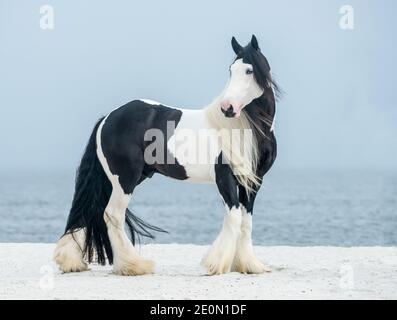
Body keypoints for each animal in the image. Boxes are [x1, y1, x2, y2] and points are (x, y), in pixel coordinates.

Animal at [54, 34, 280, 276]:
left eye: (249, 70)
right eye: (231, 70)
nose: (227, 108)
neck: (247, 130)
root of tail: (108, 117)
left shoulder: (254, 180)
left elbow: (246, 220)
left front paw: (249, 265)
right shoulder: (225, 177)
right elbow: (234, 216)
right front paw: (217, 264)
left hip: (125, 178)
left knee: (94, 209)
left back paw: (73, 261)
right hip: (125, 179)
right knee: (112, 214)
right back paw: (134, 266)